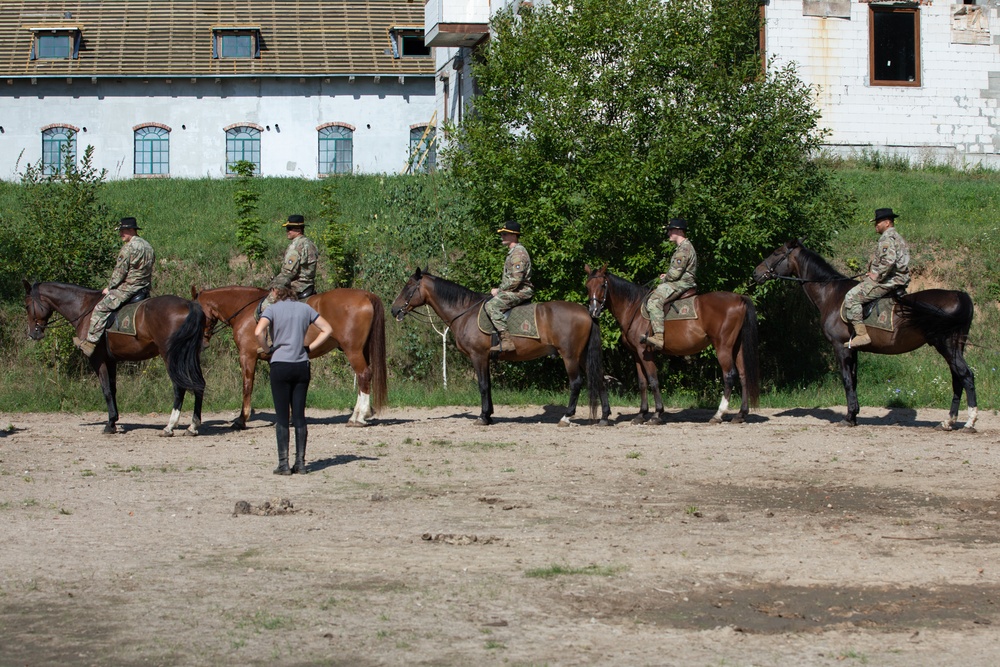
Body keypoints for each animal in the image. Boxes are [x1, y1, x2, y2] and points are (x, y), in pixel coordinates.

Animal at [23, 280, 205, 436]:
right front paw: (114, 420)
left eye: (26, 306)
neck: (84, 308)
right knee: (199, 385)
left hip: (171, 357)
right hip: (190, 356)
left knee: (179, 387)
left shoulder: (98, 359)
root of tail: (189, 305)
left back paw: (169, 426)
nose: (33, 334)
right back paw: (192, 426)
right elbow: (113, 388)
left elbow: (106, 390)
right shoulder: (111, 360)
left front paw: (110, 424)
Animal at [193, 284, 388, 430]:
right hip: (362, 350)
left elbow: (247, 385)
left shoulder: (247, 355)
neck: (245, 310)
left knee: (363, 375)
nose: (202, 344)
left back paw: (359, 417)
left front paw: (241, 419)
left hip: (353, 350)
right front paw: (290, 417)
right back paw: (358, 414)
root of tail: (365, 294)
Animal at [388, 268, 608, 426]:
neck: (465, 312)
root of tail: (587, 312)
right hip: (582, 355)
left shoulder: (478, 356)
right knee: (598, 378)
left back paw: (566, 417)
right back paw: (605, 417)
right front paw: (489, 415)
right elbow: (488, 385)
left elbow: (483, 385)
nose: (394, 309)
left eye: (408, 287)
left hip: (570, 356)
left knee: (576, 382)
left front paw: (483, 417)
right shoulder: (485, 358)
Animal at [584, 264, 760, 426]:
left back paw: (718, 415)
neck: (633, 308)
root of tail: (740, 298)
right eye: (587, 286)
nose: (593, 311)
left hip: (723, 347)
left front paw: (656, 414)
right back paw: (740, 415)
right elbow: (642, 383)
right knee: (743, 375)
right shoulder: (636, 355)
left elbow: (653, 380)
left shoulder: (644, 353)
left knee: (729, 376)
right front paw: (641, 415)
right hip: (737, 348)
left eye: (602, 285)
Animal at [752, 243, 976, 430]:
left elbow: (846, 380)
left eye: (777, 253)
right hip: (955, 346)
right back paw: (948, 422)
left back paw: (970, 421)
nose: (756, 273)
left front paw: (849, 417)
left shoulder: (840, 347)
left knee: (965, 375)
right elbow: (854, 379)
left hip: (946, 345)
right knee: (957, 378)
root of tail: (961, 295)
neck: (830, 294)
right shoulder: (854, 349)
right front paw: (854, 415)